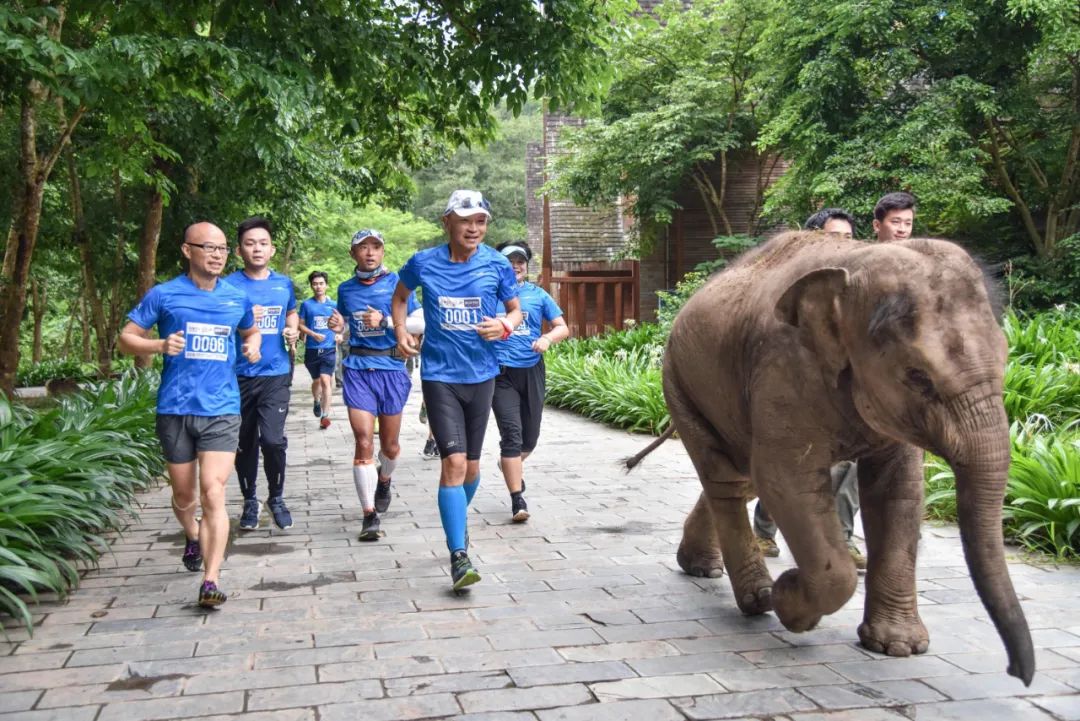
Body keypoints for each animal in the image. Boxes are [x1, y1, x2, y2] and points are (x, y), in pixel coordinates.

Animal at [630, 232, 1032, 686]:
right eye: (917, 377)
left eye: (1006, 358)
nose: (1018, 672)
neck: (855, 264)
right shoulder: (783, 366)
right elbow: (786, 480)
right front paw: (788, 600)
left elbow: (899, 489)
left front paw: (897, 648)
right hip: (680, 382)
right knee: (727, 479)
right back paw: (758, 598)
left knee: (739, 475)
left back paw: (702, 568)